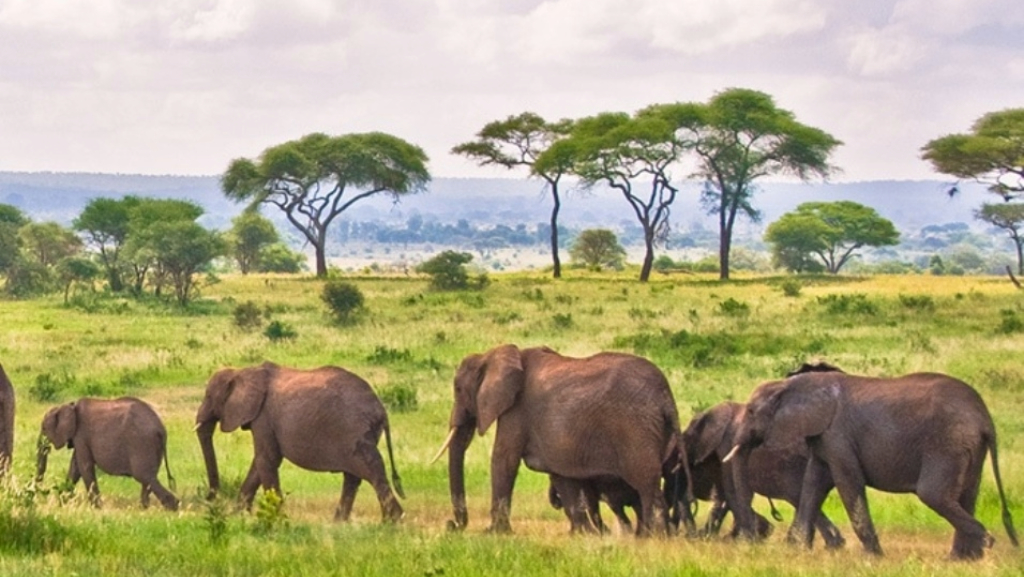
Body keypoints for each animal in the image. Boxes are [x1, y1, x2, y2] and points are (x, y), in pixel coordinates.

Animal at [36, 397, 178, 510]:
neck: (70, 405)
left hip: (142, 443)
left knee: (144, 476)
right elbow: (75, 469)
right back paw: (144, 509)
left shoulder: (82, 435)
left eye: (44, 428)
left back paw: (173, 508)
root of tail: (161, 429)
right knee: (148, 479)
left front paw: (97, 508)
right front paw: (61, 503)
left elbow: (84, 467)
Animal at [197, 360, 405, 524]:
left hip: (355, 431)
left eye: (208, 396)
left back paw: (391, 522)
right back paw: (339, 523)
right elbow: (260, 463)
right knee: (354, 477)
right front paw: (239, 516)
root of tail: (381, 409)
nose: (210, 498)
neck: (242, 371)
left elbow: (267, 460)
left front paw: (276, 519)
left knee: (371, 470)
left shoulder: (264, 416)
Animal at [724, 368, 1019, 561]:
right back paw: (964, 559)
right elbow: (814, 483)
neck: (795, 384)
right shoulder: (824, 436)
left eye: (751, 411)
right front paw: (794, 551)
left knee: (934, 494)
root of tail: (984, 418)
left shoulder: (838, 435)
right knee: (967, 494)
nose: (752, 541)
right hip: (968, 446)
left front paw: (872, 557)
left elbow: (847, 483)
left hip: (947, 443)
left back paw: (985, 543)